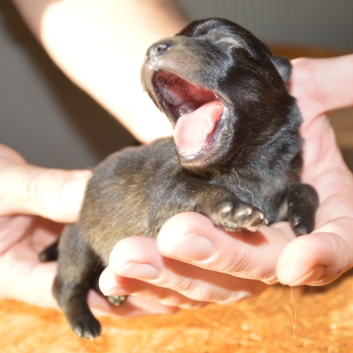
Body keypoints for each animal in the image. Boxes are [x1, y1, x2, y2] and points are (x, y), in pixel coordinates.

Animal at [40, 17, 318, 336]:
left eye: (228, 43)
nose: (153, 48)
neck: (248, 165)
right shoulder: (166, 187)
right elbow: (194, 189)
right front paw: (232, 208)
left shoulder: (279, 188)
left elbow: (307, 188)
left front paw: (302, 217)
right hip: (78, 243)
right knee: (65, 285)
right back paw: (84, 321)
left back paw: (113, 294)